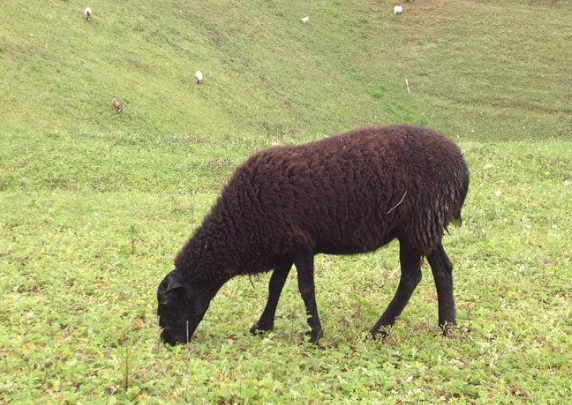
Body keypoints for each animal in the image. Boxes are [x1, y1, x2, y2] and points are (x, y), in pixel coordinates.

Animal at [156, 124, 470, 344]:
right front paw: (262, 326)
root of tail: (461, 167)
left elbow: (305, 289)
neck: (239, 226)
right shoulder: (284, 245)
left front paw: (315, 334)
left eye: (166, 302)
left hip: (416, 225)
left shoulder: (301, 244)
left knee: (411, 278)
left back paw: (377, 331)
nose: (169, 341)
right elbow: (275, 286)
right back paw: (447, 327)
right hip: (426, 226)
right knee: (443, 269)